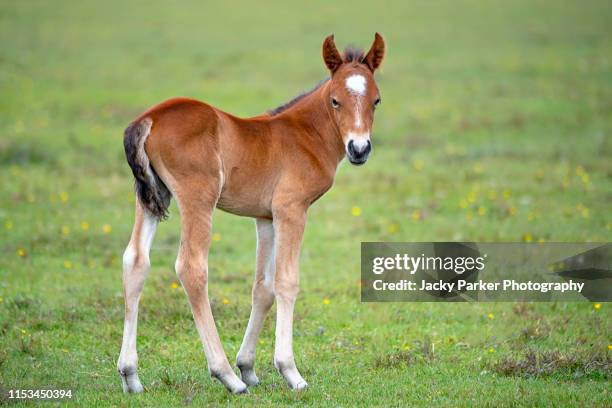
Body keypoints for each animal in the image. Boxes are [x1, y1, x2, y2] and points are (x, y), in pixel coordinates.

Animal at [117, 32, 384, 396]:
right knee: (191, 267)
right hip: (198, 198)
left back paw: (131, 375)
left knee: (135, 261)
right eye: (335, 101)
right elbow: (287, 281)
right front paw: (289, 372)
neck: (304, 134)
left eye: (376, 100)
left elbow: (263, 287)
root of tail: (149, 118)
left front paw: (249, 367)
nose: (359, 149)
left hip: (150, 200)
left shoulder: (266, 218)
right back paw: (226, 375)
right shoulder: (291, 210)